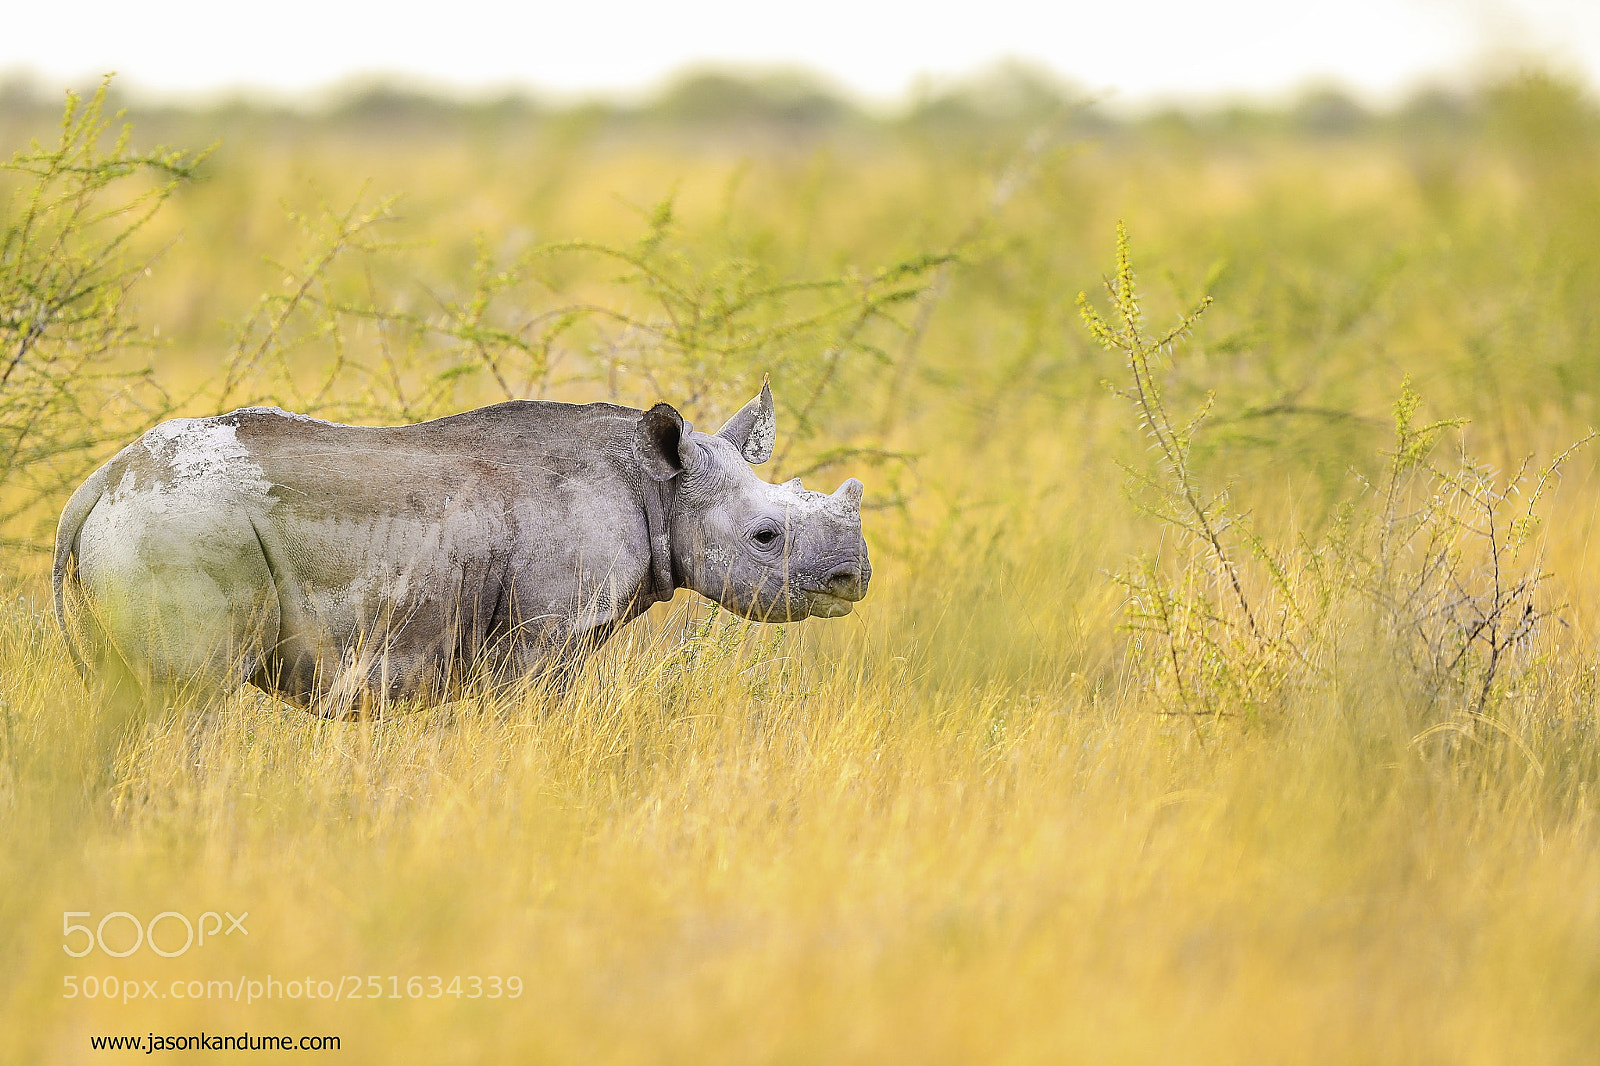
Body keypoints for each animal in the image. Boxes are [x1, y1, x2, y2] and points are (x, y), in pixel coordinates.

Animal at [51, 384, 871, 714]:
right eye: (766, 537)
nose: (854, 578)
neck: (657, 485)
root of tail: (102, 480)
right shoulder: (547, 635)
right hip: (178, 525)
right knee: (189, 700)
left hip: (149, 518)